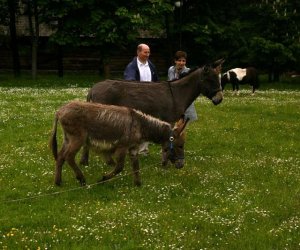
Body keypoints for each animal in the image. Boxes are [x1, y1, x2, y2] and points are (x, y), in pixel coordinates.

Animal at [50, 101, 189, 186]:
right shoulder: (122, 147)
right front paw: (103, 179)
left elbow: (136, 167)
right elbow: (119, 167)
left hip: (68, 139)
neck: (141, 124)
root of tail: (60, 111)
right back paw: (81, 179)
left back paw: (58, 182)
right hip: (78, 139)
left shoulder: (133, 148)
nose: (182, 165)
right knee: (69, 156)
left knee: (61, 156)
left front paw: (138, 185)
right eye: (181, 145)